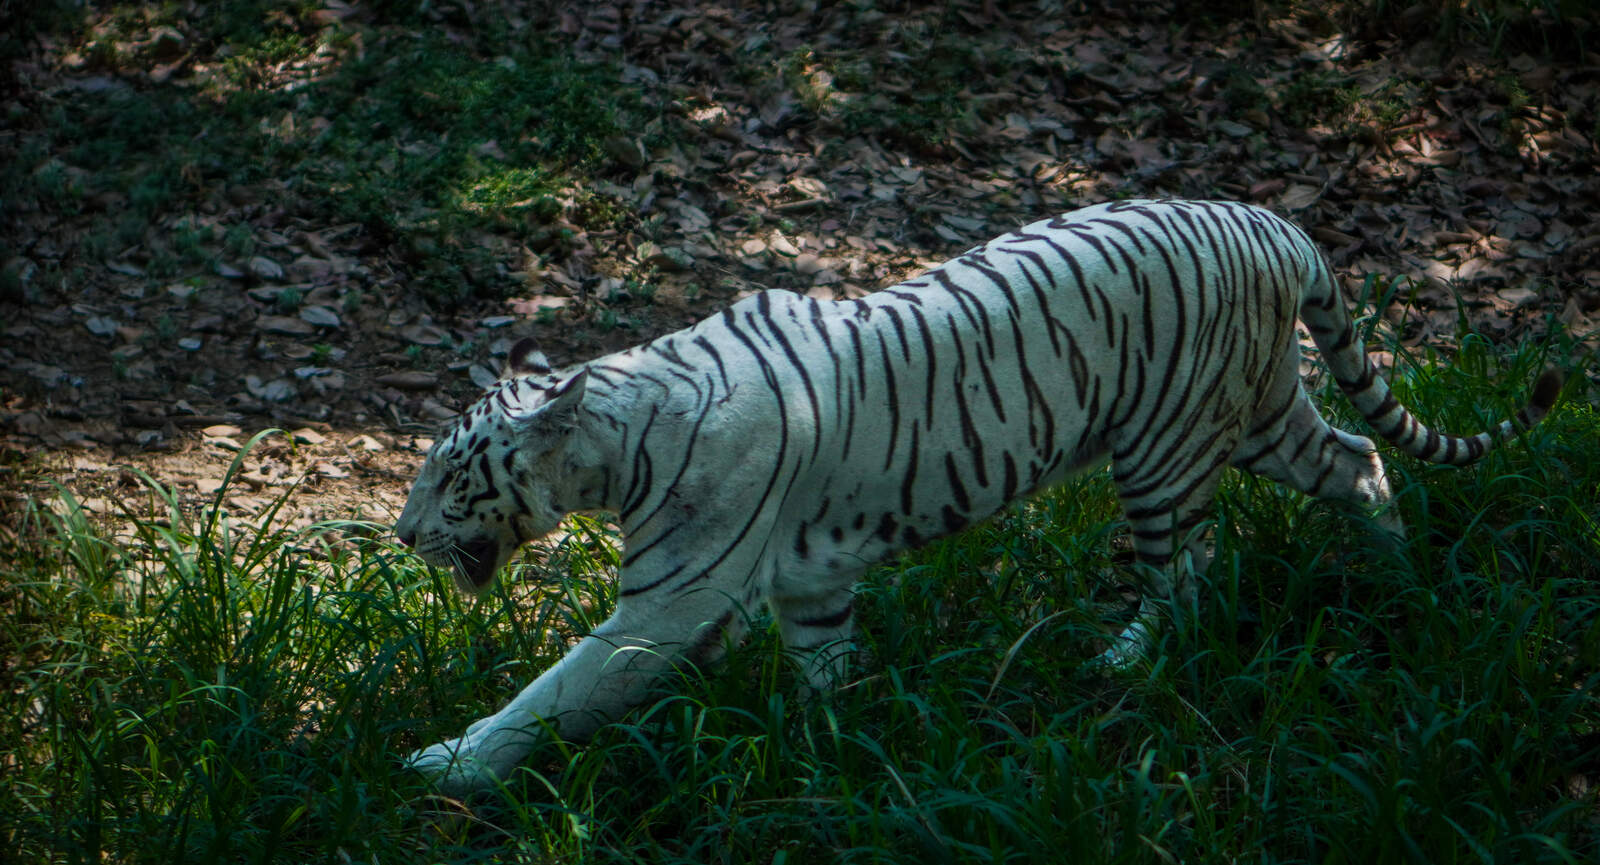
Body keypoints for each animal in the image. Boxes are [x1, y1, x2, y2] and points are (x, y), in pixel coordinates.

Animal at [395, 198, 1559, 795]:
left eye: (451, 476)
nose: (401, 535)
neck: (614, 435)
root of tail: (1277, 225)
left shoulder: (669, 604)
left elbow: (560, 686)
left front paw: (449, 762)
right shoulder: (807, 586)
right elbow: (827, 668)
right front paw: (840, 746)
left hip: (1166, 447)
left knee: (1186, 572)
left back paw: (1124, 663)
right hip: (1263, 409)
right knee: (1358, 458)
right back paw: (1395, 569)